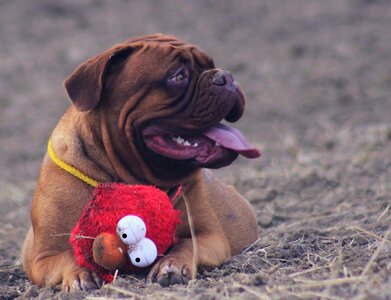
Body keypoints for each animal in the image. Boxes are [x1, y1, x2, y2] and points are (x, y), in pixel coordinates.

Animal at [21, 34, 260, 292]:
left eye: (211, 65)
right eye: (178, 76)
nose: (225, 76)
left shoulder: (210, 237)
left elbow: (187, 244)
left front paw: (171, 266)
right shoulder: (43, 257)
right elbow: (68, 256)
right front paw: (79, 275)